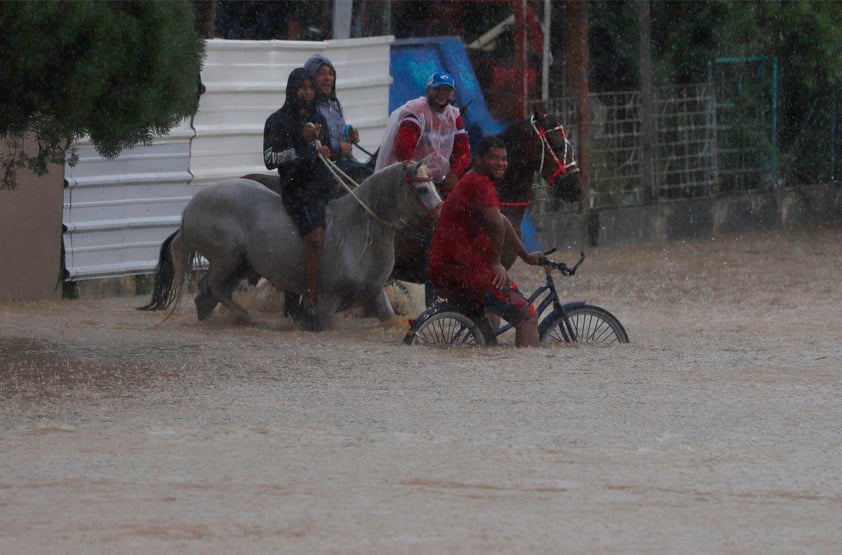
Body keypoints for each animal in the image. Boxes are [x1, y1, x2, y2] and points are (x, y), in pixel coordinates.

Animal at [139, 159, 440, 328]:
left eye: (435, 185)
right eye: (422, 188)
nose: (440, 216)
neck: (358, 233)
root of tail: (190, 208)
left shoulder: (377, 295)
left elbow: (392, 319)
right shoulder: (327, 302)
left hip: (241, 265)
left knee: (206, 296)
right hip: (227, 258)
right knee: (210, 287)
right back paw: (246, 317)